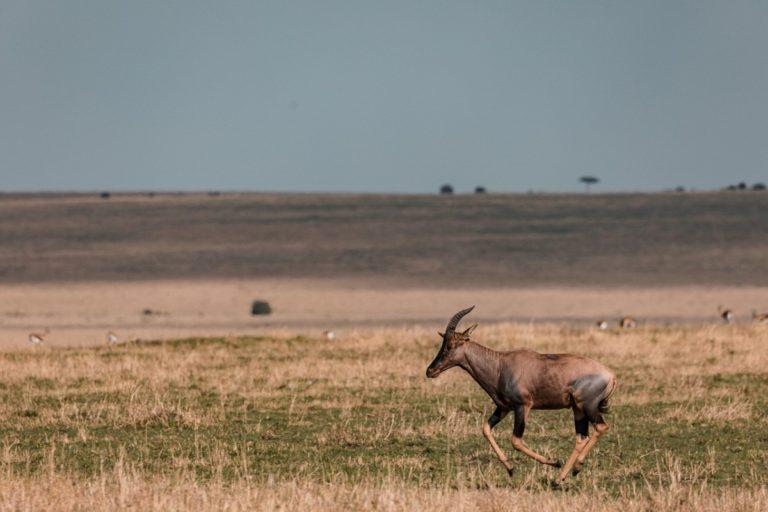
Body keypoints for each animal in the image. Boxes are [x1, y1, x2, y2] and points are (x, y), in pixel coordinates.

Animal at [426, 306, 616, 486]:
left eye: (450, 345)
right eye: (443, 344)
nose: (430, 371)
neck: (500, 364)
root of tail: (610, 375)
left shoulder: (522, 406)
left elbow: (515, 441)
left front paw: (553, 462)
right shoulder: (503, 408)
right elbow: (486, 429)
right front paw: (510, 469)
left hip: (587, 406)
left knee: (601, 427)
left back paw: (573, 469)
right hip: (577, 409)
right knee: (581, 438)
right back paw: (560, 479)